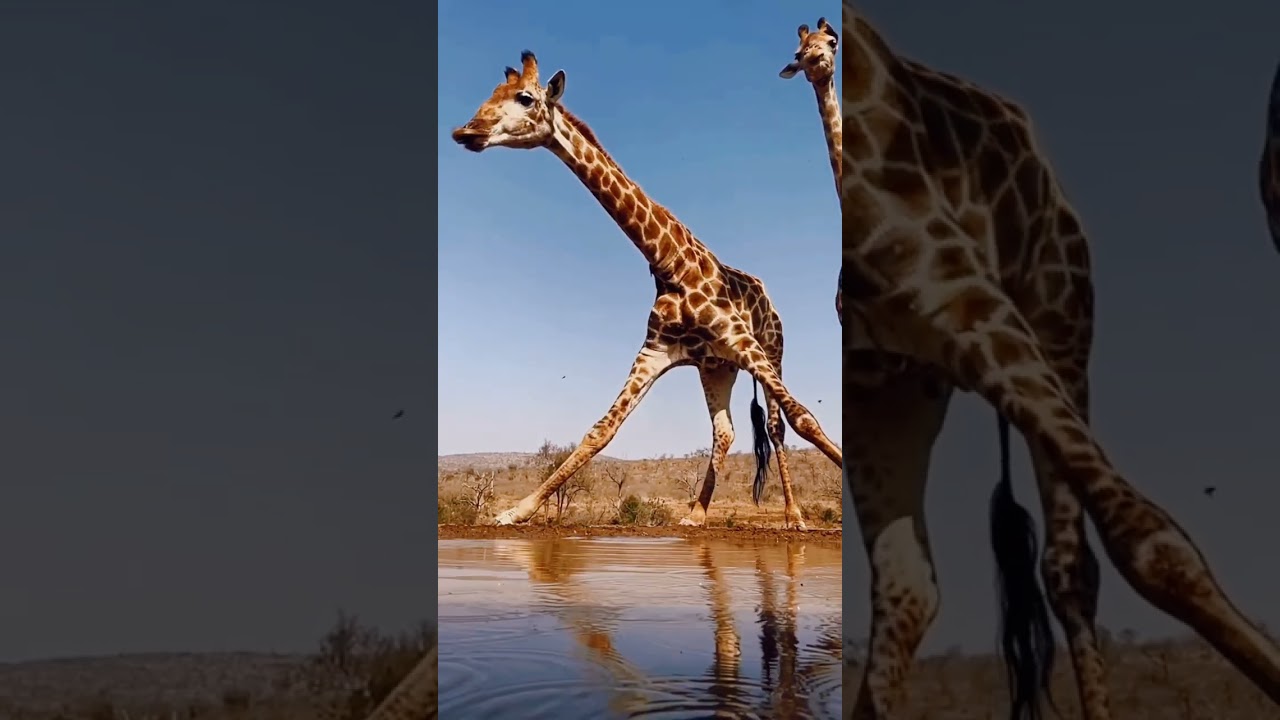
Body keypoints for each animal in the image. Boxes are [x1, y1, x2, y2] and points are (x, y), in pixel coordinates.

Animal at [450, 51, 841, 530]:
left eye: (525, 97)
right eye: (492, 93)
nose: (466, 131)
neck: (669, 261)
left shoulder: (740, 340)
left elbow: (805, 419)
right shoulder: (654, 351)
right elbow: (600, 430)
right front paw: (515, 511)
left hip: (771, 348)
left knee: (776, 425)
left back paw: (793, 516)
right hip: (717, 369)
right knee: (725, 430)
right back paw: (696, 514)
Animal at [838, 6, 1280, 719]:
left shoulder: (945, 278)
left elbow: (1152, 541)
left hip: (1059, 326)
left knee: (1072, 567)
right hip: (893, 388)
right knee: (912, 584)